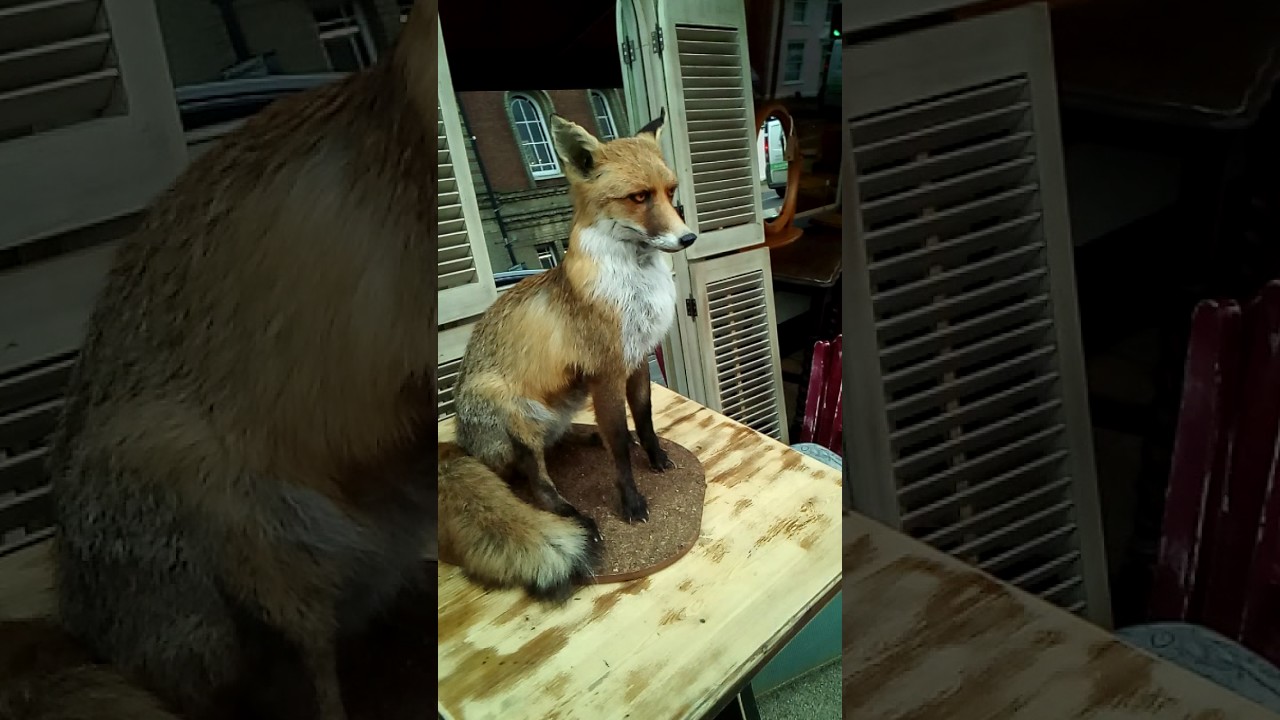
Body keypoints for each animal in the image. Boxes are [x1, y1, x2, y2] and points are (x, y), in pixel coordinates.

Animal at [438, 109, 696, 602]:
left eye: (671, 192)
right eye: (639, 197)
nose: (688, 237)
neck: (635, 288)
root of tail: (461, 444)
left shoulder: (637, 360)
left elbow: (645, 421)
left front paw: (655, 458)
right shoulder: (606, 373)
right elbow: (619, 449)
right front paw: (631, 502)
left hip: (563, 404)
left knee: (554, 445)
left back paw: (584, 438)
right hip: (505, 404)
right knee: (536, 483)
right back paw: (576, 517)